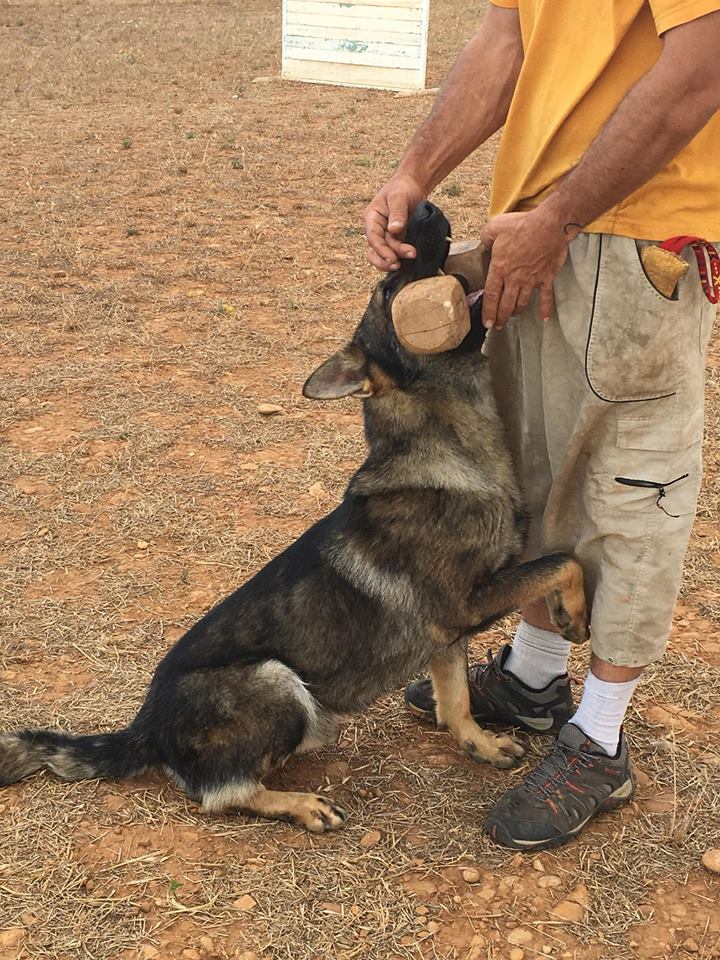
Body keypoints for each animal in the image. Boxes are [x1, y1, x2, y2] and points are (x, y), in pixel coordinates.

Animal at [0, 204, 584, 832]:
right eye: (388, 289)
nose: (422, 208)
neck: (442, 443)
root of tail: (144, 728)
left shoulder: (445, 633)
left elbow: (456, 703)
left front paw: (481, 743)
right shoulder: (465, 604)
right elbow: (563, 561)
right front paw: (573, 615)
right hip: (277, 680)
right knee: (222, 793)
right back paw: (302, 804)